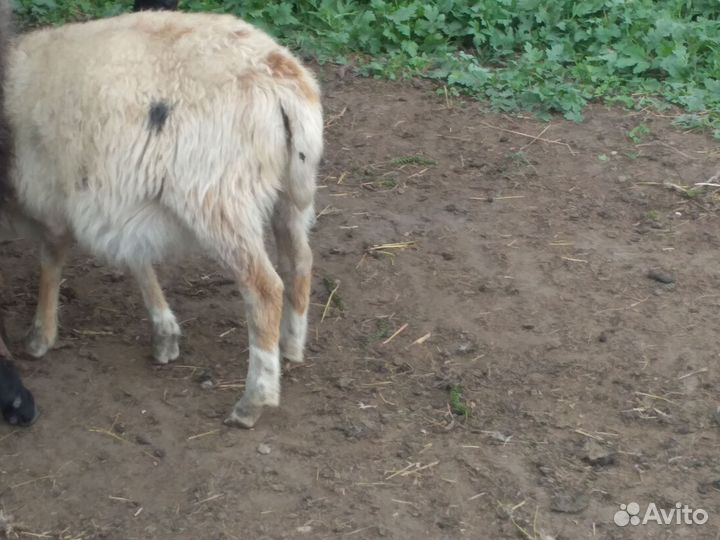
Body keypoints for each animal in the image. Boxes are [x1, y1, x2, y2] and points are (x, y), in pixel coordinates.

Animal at [4, 10, 323, 428]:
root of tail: (282, 81)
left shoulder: (50, 194)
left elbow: (51, 259)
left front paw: (40, 336)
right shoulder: (116, 199)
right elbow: (136, 258)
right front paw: (165, 334)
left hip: (220, 198)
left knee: (264, 289)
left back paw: (253, 401)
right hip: (291, 193)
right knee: (299, 263)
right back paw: (291, 345)